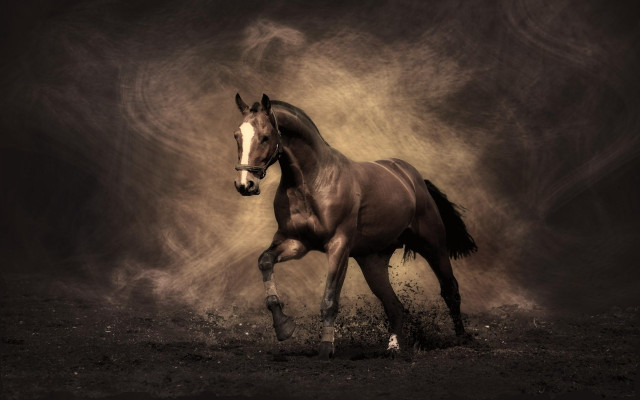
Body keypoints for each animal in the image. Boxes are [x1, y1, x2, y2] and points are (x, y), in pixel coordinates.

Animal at [232, 93, 477, 360]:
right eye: (237, 136)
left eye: (265, 136)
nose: (245, 185)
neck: (313, 182)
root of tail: (413, 179)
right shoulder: (296, 242)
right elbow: (265, 261)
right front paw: (284, 327)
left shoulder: (338, 246)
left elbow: (330, 299)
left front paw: (326, 348)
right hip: (373, 262)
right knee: (394, 305)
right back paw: (393, 348)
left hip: (433, 245)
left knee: (450, 289)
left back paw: (462, 339)